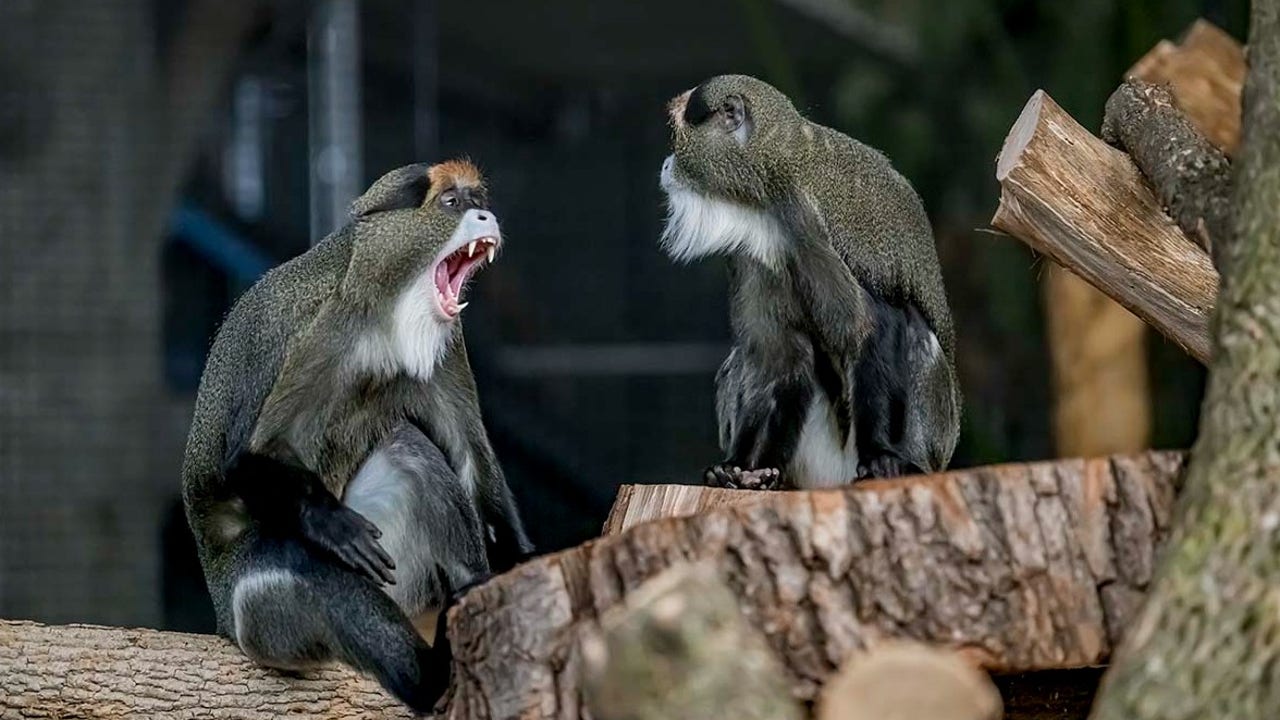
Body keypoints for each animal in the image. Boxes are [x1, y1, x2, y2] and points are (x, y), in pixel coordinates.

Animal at [180, 159, 529, 707]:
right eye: (450, 203)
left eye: (475, 200)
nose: (485, 216)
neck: (387, 305)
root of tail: (221, 622)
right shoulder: (326, 329)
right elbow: (249, 455)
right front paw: (334, 524)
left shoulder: (449, 346)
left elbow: (470, 459)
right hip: (253, 619)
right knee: (299, 566)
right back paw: (432, 679)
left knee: (409, 451)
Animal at [660, 75, 962, 489]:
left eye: (675, 133)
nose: (666, 164)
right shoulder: (750, 251)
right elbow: (778, 352)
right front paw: (740, 467)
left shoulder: (811, 221)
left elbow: (872, 325)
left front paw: (881, 457)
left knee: (915, 329)